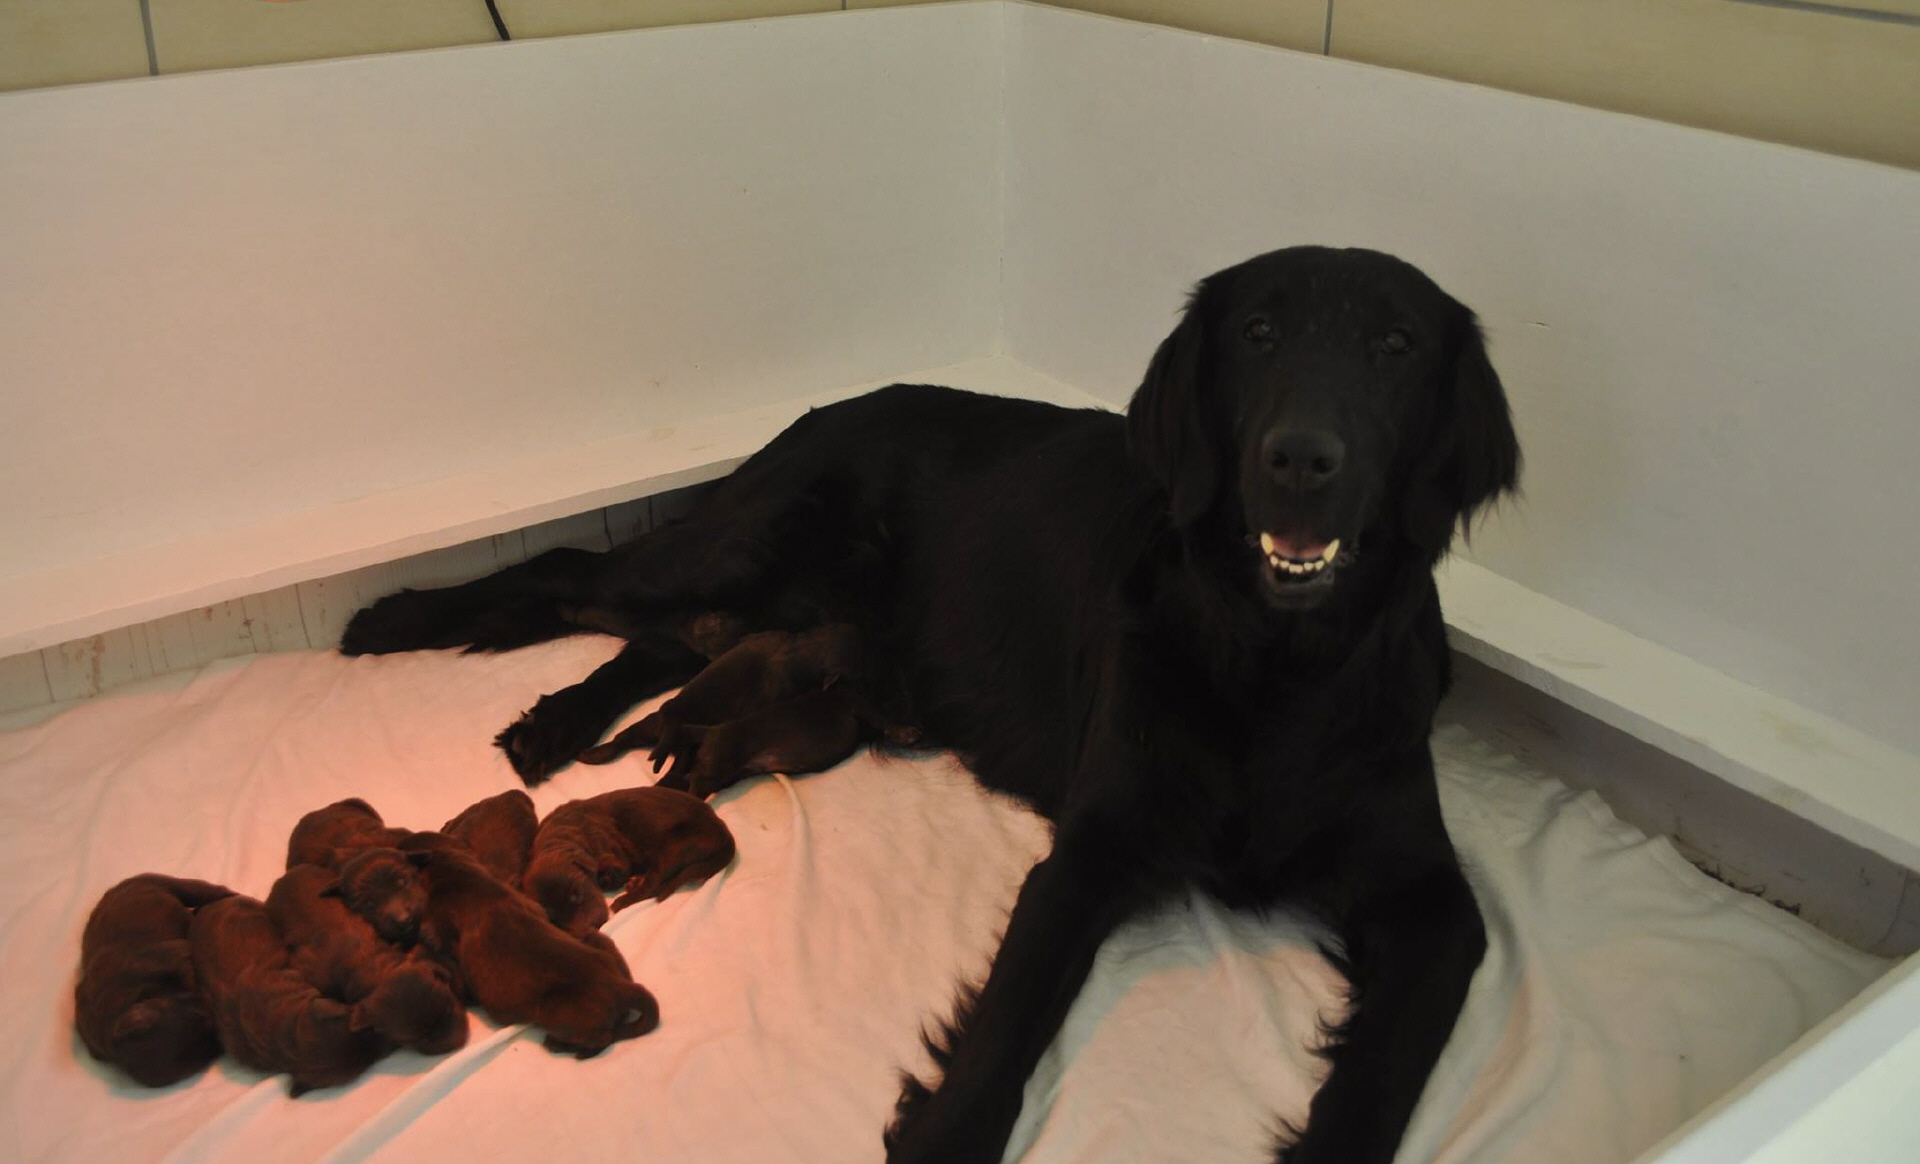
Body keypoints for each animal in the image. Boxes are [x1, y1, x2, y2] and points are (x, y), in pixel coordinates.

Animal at [340, 841, 659, 1057]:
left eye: (405, 878)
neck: (464, 881)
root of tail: (618, 986)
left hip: (556, 1011)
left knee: (602, 1038)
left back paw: (559, 1045)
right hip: (601, 943)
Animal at [522, 787, 736, 936]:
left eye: (577, 894)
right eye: (556, 920)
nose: (593, 927)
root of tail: (723, 830)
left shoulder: (612, 850)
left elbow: (617, 869)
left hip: (674, 845)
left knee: (654, 885)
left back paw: (623, 899)